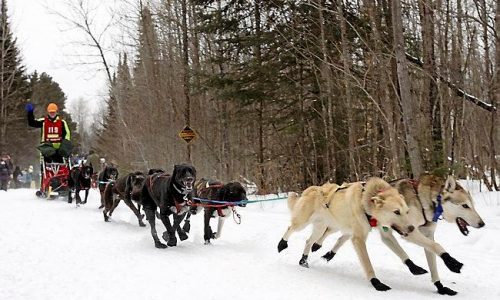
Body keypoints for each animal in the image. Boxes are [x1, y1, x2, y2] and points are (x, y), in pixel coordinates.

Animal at [276, 177, 462, 292]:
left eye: (407, 211)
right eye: (396, 212)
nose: (410, 228)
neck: (366, 202)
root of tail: (311, 189)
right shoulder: (358, 239)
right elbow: (368, 264)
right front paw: (376, 283)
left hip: (322, 227)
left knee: (309, 241)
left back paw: (304, 260)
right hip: (303, 223)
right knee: (291, 229)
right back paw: (282, 244)